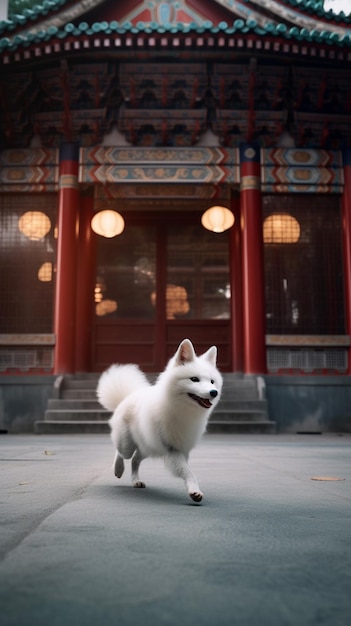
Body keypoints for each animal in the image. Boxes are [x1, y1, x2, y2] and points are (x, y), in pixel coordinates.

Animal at [96, 338, 223, 500]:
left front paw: (193, 490)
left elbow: (187, 470)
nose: (214, 392)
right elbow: (188, 472)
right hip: (128, 444)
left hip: (148, 447)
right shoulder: (172, 449)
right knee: (122, 453)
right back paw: (118, 470)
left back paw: (136, 481)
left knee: (135, 460)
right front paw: (194, 491)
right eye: (194, 379)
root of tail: (127, 396)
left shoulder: (182, 450)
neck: (182, 409)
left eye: (212, 381)